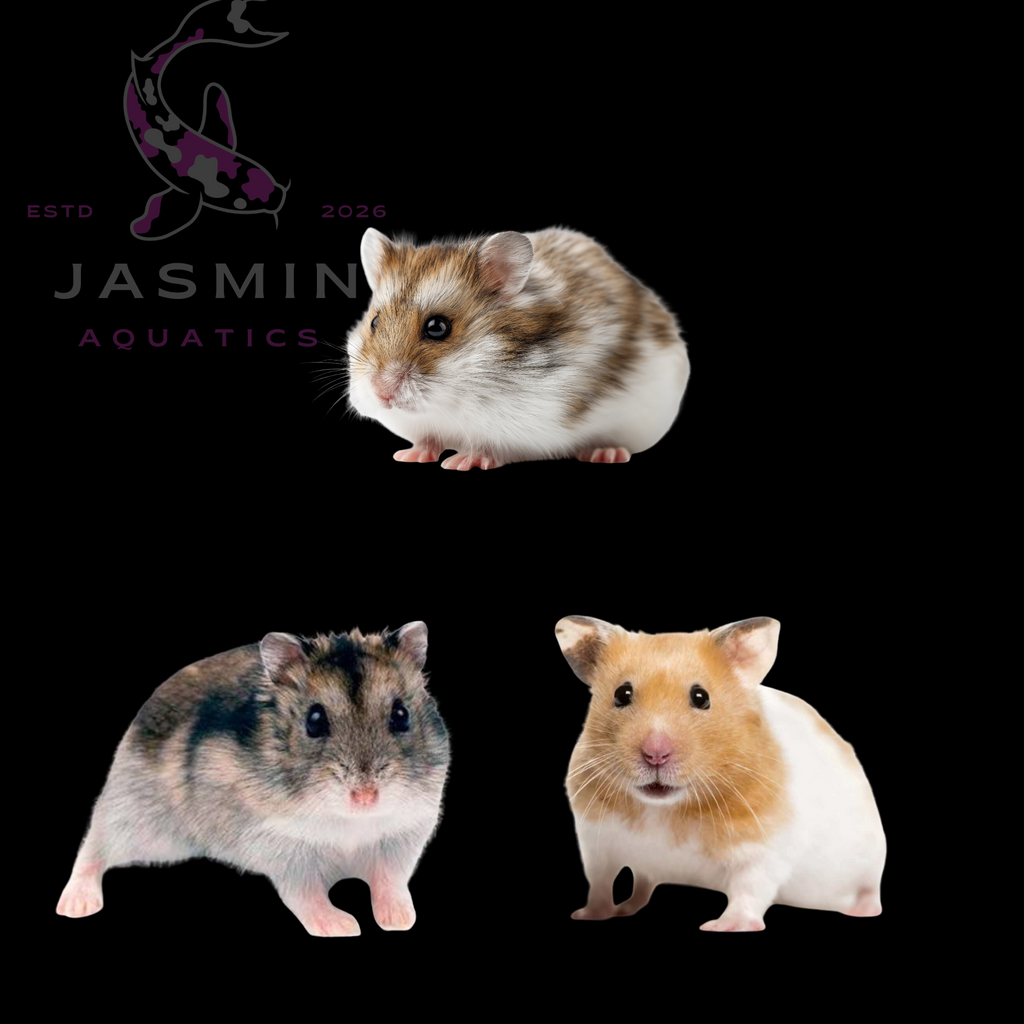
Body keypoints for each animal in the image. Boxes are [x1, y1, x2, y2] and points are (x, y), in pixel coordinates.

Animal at [56, 623, 449, 936]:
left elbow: (389, 882)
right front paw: (343, 927)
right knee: (94, 846)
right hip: (136, 818)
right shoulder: (284, 844)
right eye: (314, 720)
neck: (350, 823)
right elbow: (305, 894)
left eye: (401, 715)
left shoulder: (401, 836)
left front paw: (400, 920)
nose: (366, 797)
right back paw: (75, 906)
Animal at [345, 227, 690, 469]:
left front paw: (460, 462)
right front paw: (409, 455)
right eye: (374, 322)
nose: (381, 393)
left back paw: (605, 453)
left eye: (437, 328)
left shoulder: (526, 430)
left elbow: (490, 447)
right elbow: (427, 440)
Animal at [555, 616, 886, 931]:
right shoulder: (596, 842)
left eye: (701, 697)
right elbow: (600, 883)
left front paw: (721, 926)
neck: (663, 809)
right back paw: (625, 908)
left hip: (870, 863)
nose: (655, 754)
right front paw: (587, 915)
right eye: (622, 694)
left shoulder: (763, 848)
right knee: (644, 884)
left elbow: (750, 889)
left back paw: (864, 911)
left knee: (869, 891)